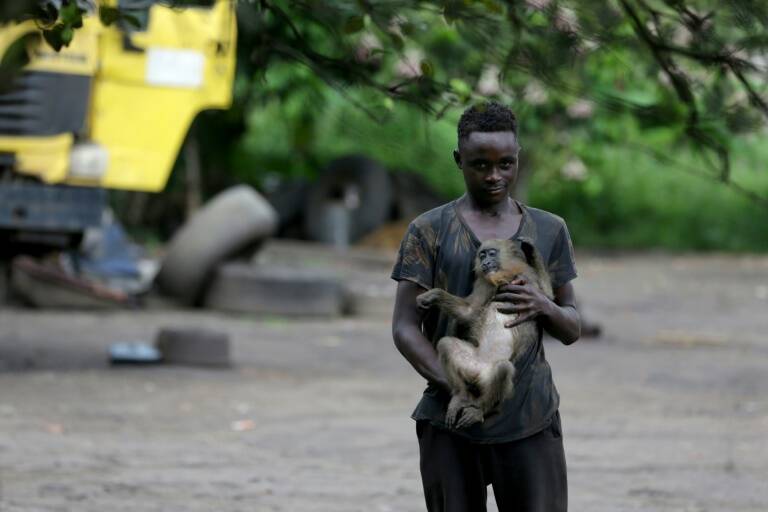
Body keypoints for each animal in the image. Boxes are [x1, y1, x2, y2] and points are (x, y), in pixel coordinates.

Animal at [416, 239, 548, 428]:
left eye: (491, 253)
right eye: (482, 255)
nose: (485, 263)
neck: (505, 276)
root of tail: (477, 371)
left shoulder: (529, 279)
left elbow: (547, 301)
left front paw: (530, 250)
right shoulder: (486, 282)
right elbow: (469, 311)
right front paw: (434, 295)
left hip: (488, 378)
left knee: (503, 369)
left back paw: (478, 411)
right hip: (470, 362)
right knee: (446, 344)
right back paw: (460, 396)